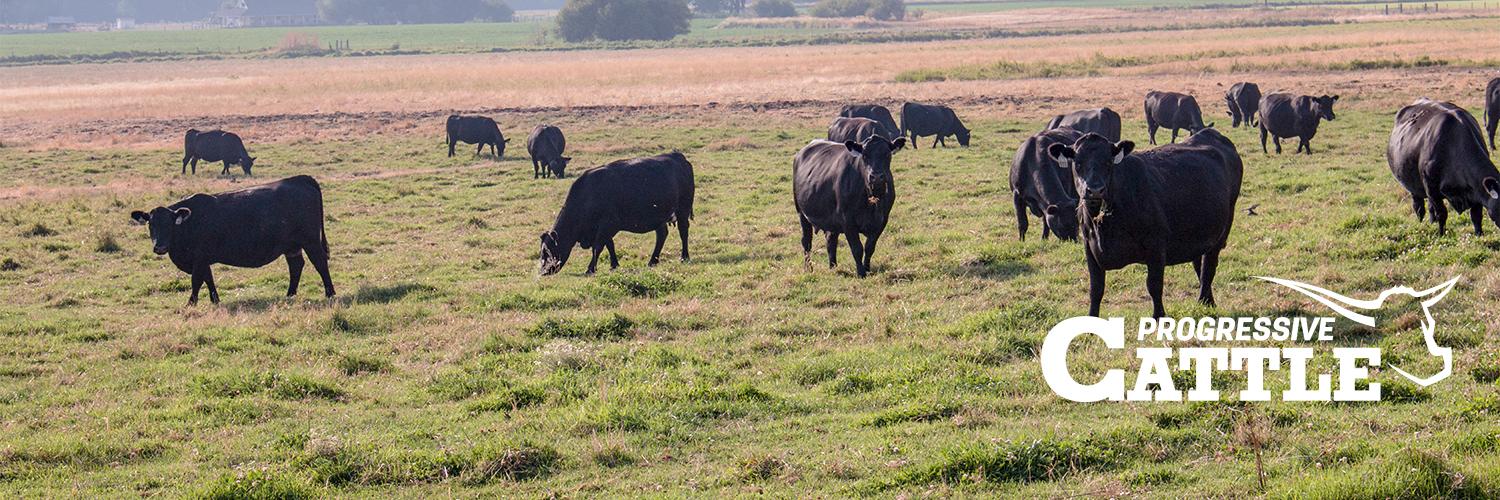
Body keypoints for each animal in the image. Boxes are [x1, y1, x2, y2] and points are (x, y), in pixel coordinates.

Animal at [129, 175, 333, 305]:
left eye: (170, 224)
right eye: (151, 225)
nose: (160, 247)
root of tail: (299, 179)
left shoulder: (199, 259)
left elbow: (197, 281)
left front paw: (191, 303)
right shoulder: (203, 260)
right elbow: (208, 279)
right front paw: (215, 300)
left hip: (310, 242)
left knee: (320, 263)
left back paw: (330, 293)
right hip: (292, 246)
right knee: (296, 266)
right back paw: (290, 294)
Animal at [538, 152, 694, 275]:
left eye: (548, 251)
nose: (542, 272)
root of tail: (677, 156)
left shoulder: (608, 225)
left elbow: (598, 247)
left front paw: (590, 269)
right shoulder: (604, 228)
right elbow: (610, 245)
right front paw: (614, 265)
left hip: (683, 209)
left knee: (683, 231)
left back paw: (684, 257)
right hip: (658, 217)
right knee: (662, 234)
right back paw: (653, 261)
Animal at [793, 135, 906, 277]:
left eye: (887, 154)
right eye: (864, 155)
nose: (876, 177)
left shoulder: (882, 221)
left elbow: (869, 247)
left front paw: (867, 269)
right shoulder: (847, 221)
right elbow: (857, 248)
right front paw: (861, 273)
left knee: (831, 241)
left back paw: (833, 267)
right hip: (801, 213)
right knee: (806, 242)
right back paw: (808, 269)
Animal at [1048, 129, 1242, 318]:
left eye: (1108, 163)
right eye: (1078, 163)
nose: (1095, 190)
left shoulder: (1156, 246)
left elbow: (1154, 285)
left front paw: (1159, 316)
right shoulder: (1090, 247)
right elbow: (1096, 289)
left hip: (1222, 231)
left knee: (1208, 267)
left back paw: (1205, 300)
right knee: (1199, 265)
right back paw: (1207, 301)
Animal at [1387, 98, 1500, 236]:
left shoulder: (1476, 189)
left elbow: (1476, 215)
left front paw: (1479, 234)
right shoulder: (1432, 188)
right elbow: (1442, 213)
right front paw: (1441, 233)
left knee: (1430, 207)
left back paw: (1431, 222)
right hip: (1413, 185)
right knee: (1418, 206)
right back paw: (1421, 223)